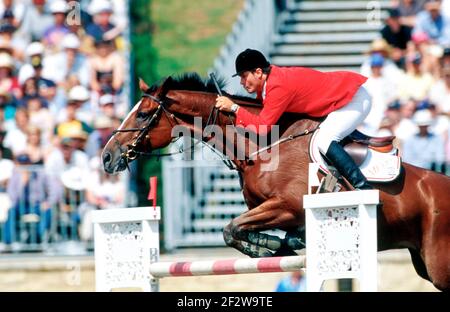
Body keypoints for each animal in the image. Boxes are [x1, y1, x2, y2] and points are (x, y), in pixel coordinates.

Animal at [102, 73, 450, 292]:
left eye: (144, 114)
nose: (107, 157)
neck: (262, 147)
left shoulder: (289, 206)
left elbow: (231, 228)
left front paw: (268, 246)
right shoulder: (271, 210)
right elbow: (237, 230)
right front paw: (277, 244)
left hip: (438, 264)